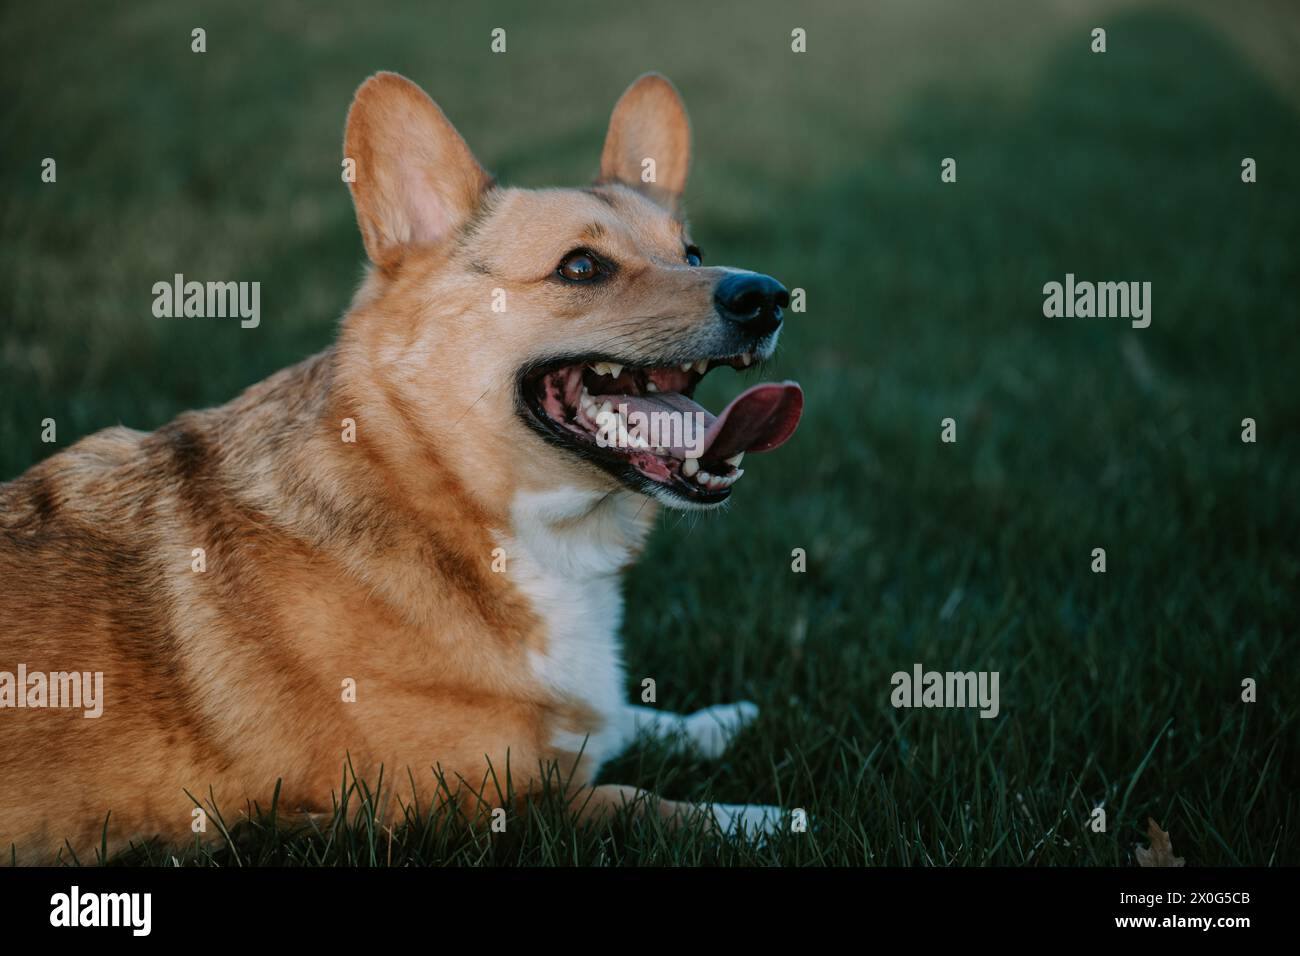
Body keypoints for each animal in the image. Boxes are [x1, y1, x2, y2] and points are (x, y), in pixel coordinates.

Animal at [0, 67, 800, 858]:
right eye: (581, 266)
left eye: (692, 253)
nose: (767, 296)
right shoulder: (462, 807)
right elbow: (633, 802)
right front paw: (761, 820)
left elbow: (624, 718)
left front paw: (715, 721)